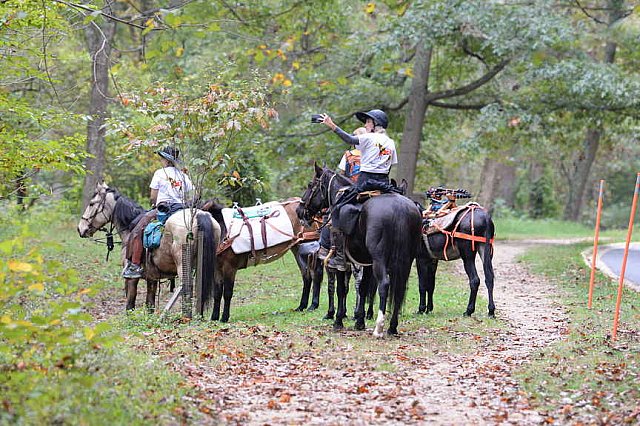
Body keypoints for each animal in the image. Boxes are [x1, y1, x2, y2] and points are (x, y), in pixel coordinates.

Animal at [75, 181, 218, 314]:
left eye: (91, 204)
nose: (80, 228)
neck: (130, 227)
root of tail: (199, 215)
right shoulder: (152, 277)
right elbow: (150, 304)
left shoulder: (131, 279)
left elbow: (130, 303)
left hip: (183, 266)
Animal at [298, 164, 422, 336]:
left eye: (311, 185)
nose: (299, 210)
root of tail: (400, 208)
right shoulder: (366, 263)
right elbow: (362, 288)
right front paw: (359, 322)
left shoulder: (341, 264)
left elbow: (341, 289)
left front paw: (338, 320)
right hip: (406, 260)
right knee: (399, 288)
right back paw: (392, 327)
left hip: (379, 259)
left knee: (384, 284)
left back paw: (379, 327)